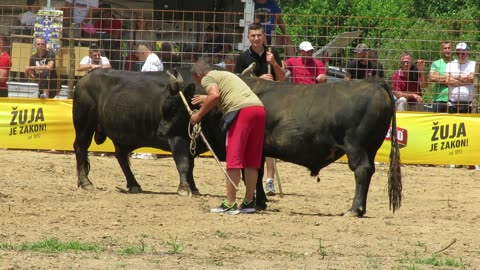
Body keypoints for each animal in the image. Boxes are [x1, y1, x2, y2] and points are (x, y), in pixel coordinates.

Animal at [72, 69, 402, 217]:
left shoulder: (189, 140)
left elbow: (194, 166)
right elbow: (247, 174)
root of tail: (374, 82)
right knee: (111, 153)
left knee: (362, 172)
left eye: (172, 106)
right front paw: (258, 201)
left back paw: (354, 209)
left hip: (357, 148)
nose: (161, 129)